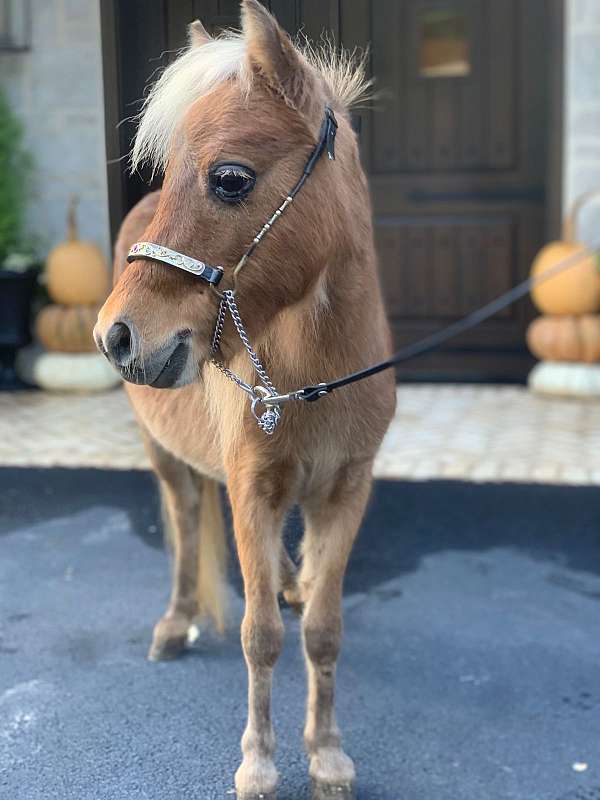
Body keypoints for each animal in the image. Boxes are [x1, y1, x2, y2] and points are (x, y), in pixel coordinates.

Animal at [95, 2, 395, 797]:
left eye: (230, 178)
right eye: (169, 171)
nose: (118, 335)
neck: (315, 373)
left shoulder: (345, 490)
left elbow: (322, 629)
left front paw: (328, 754)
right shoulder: (250, 487)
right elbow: (259, 636)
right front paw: (259, 763)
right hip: (165, 456)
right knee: (182, 524)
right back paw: (175, 624)